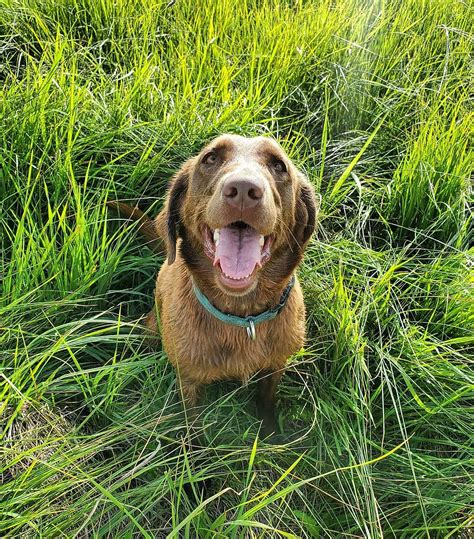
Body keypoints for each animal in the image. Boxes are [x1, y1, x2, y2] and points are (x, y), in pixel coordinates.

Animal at [110, 134, 318, 434]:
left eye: (279, 165)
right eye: (210, 158)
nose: (243, 189)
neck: (242, 317)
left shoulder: (276, 366)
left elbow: (267, 400)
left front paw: (271, 435)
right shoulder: (188, 380)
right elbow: (191, 423)